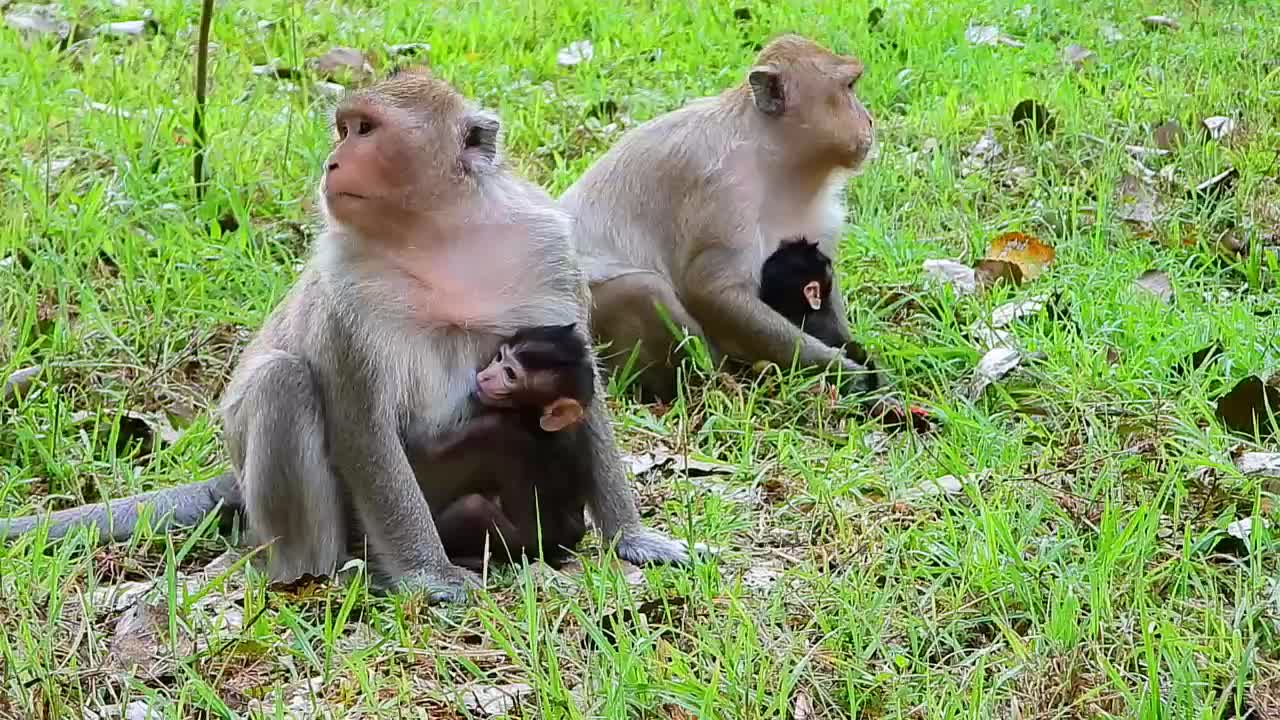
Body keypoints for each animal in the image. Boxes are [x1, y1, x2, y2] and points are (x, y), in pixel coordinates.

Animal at [422, 323, 595, 571]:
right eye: (500, 357)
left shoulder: (495, 430)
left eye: (510, 375)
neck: (535, 421)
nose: (485, 377)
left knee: (471, 508)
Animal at [560, 34, 880, 403]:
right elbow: (714, 291)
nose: (869, 120)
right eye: (849, 87)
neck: (775, 160)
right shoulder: (722, 190)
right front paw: (844, 371)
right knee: (644, 289)